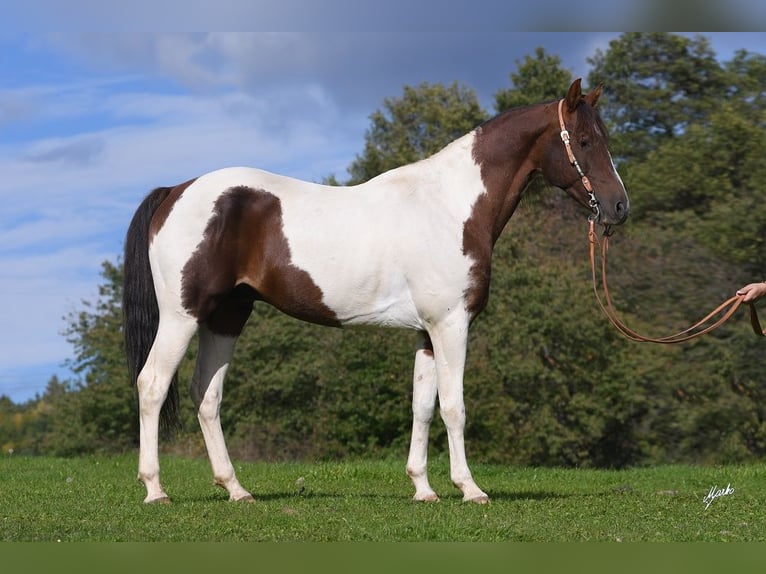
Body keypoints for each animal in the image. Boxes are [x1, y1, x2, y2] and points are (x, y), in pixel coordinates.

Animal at [123, 78, 629, 504]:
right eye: (585, 142)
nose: (619, 207)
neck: (451, 207)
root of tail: (175, 191)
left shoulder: (427, 332)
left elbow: (422, 407)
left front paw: (423, 489)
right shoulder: (451, 325)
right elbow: (454, 407)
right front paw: (469, 489)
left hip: (227, 317)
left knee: (206, 395)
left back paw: (236, 490)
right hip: (182, 316)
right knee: (152, 384)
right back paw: (155, 490)